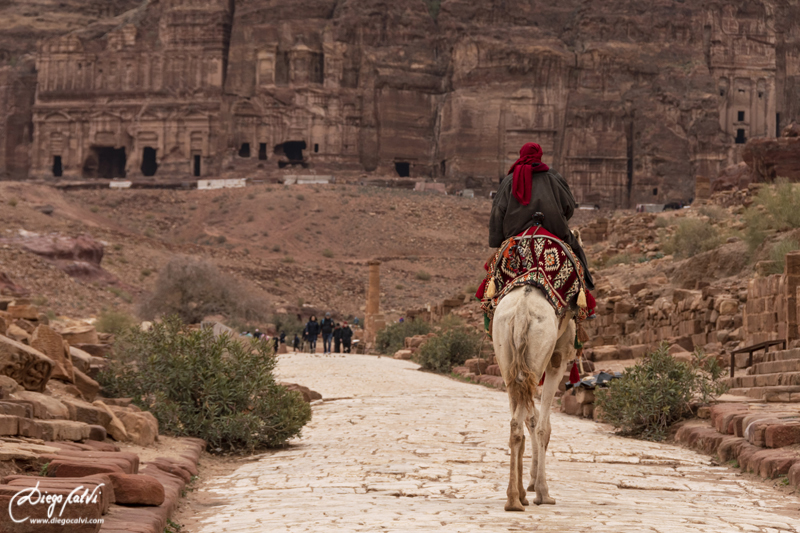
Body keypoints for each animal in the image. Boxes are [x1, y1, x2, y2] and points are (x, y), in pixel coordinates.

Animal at [494, 284, 576, 510]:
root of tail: (522, 309)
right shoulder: (558, 359)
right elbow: (542, 427)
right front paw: (541, 491)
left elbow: (531, 420)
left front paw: (529, 487)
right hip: (539, 353)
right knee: (530, 423)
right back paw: (523, 497)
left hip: (505, 356)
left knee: (516, 424)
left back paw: (515, 497)